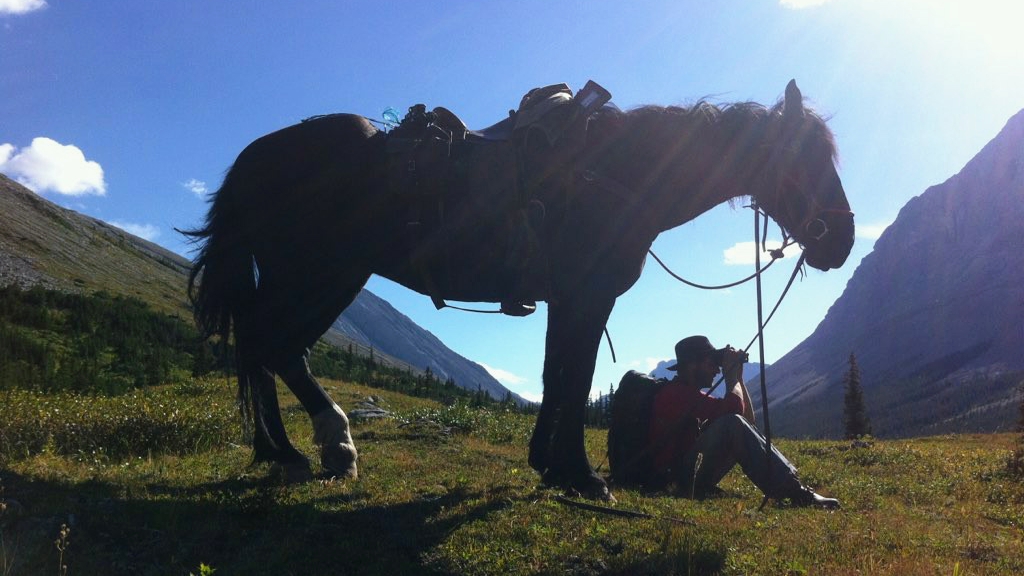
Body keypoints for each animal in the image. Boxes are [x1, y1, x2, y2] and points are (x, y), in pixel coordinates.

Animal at [186, 79, 856, 498]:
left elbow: (556, 376)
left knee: (263, 347)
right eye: (802, 159)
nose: (843, 240)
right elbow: (576, 378)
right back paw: (324, 446)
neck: (615, 173)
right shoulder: (588, 296)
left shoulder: (568, 300)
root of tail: (256, 156)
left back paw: (283, 451)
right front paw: (582, 475)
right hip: (321, 276)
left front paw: (550, 465)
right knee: (274, 346)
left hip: (309, 278)